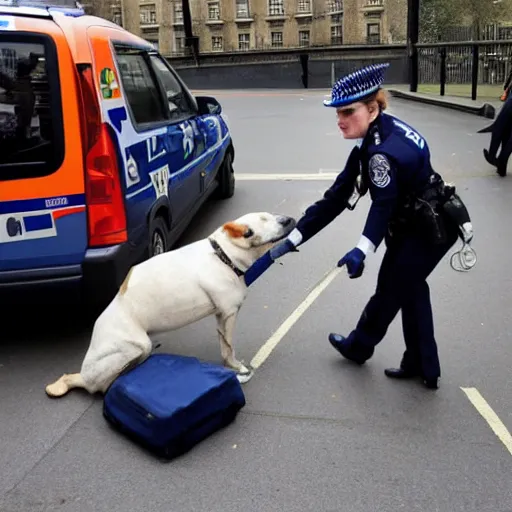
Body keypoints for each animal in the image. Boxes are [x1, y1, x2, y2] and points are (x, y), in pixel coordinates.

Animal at [46, 210, 298, 398]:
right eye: (249, 232)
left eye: (270, 216)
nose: (288, 220)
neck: (222, 255)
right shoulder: (228, 314)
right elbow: (229, 349)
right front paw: (236, 367)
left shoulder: (220, 316)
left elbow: (224, 347)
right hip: (135, 346)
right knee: (95, 385)